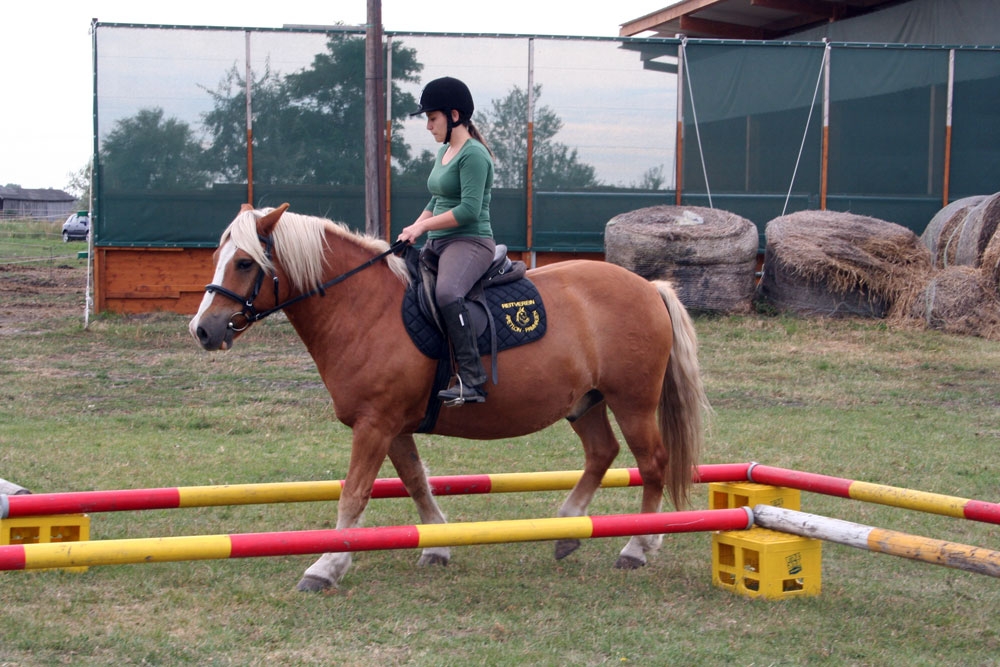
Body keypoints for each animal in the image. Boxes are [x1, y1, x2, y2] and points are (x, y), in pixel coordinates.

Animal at [189, 204, 712, 588]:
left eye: (244, 263)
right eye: (218, 258)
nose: (202, 330)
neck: (363, 308)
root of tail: (649, 286)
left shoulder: (375, 424)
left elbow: (354, 494)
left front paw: (325, 566)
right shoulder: (391, 425)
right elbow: (415, 482)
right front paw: (436, 544)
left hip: (633, 402)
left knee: (653, 464)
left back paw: (637, 546)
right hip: (586, 401)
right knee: (602, 453)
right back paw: (568, 529)